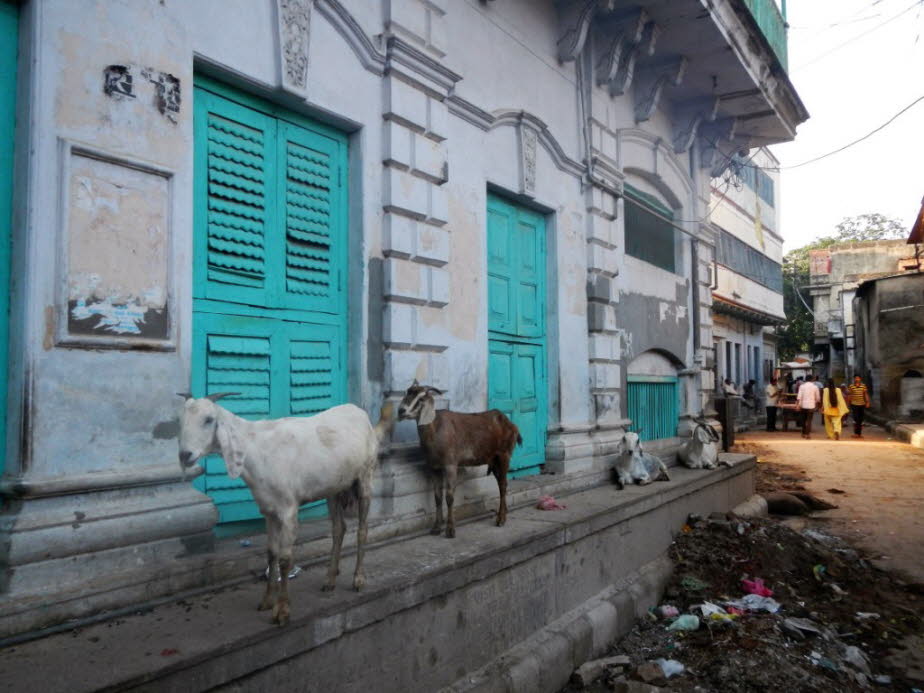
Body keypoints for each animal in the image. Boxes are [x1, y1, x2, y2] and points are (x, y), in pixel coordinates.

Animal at [177, 392, 394, 624]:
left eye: (209, 419)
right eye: (181, 420)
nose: (184, 455)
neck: (255, 448)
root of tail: (362, 415)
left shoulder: (288, 509)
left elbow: (284, 559)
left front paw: (282, 610)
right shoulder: (269, 511)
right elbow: (271, 554)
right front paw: (266, 601)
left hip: (365, 477)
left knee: (362, 529)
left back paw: (358, 579)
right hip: (334, 489)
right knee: (339, 529)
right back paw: (329, 579)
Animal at [398, 382, 524, 536]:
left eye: (421, 398)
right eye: (407, 393)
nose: (400, 411)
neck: (435, 430)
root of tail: (512, 425)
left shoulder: (451, 464)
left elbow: (449, 497)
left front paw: (450, 530)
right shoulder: (433, 467)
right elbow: (437, 497)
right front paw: (436, 527)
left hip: (504, 455)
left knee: (503, 485)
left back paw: (501, 519)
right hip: (493, 461)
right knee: (501, 482)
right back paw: (504, 514)